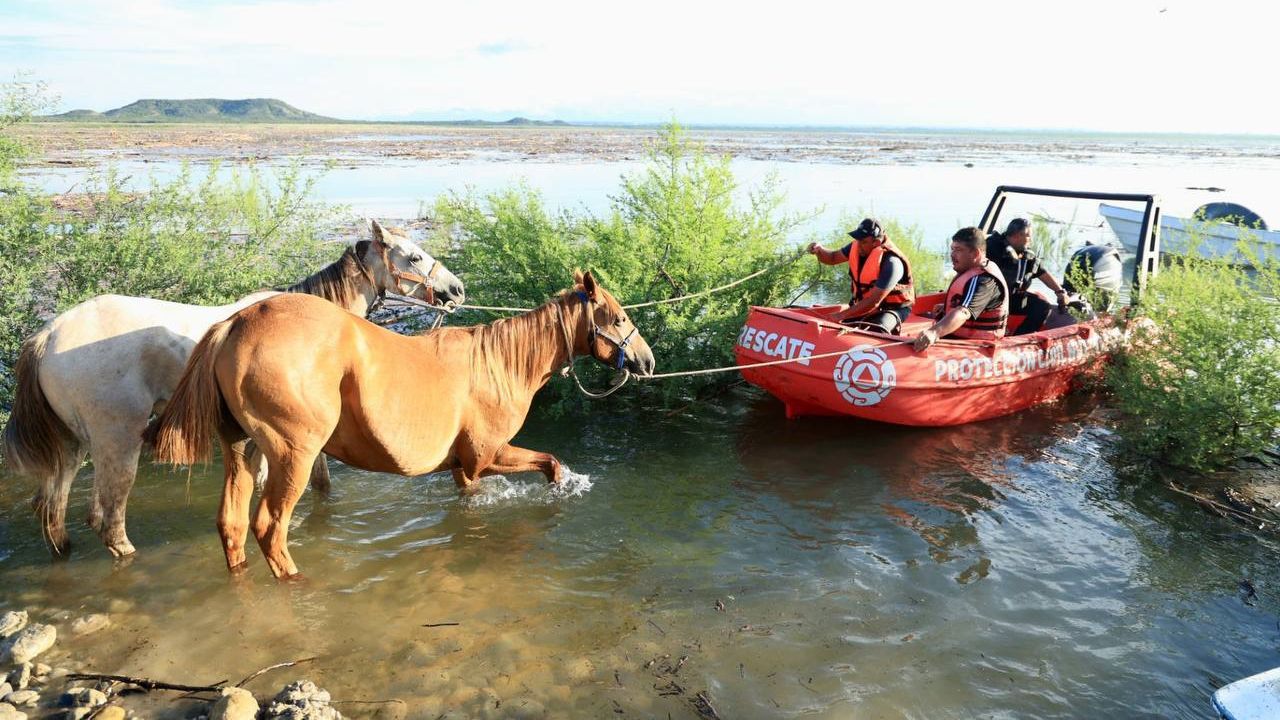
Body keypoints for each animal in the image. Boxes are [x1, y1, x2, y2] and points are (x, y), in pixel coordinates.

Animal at [2, 221, 463, 558]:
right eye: (414, 256)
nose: (456, 290)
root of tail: (48, 336)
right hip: (117, 441)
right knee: (109, 519)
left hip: (73, 444)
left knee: (52, 508)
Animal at [145, 269, 655, 576]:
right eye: (619, 317)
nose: (647, 361)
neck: (499, 363)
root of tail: (235, 323)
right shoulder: (488, 454)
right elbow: (552, 464)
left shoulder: (463, 468)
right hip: (294, 456)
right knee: (269, 527)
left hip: (242, 451)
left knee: (231, 524)